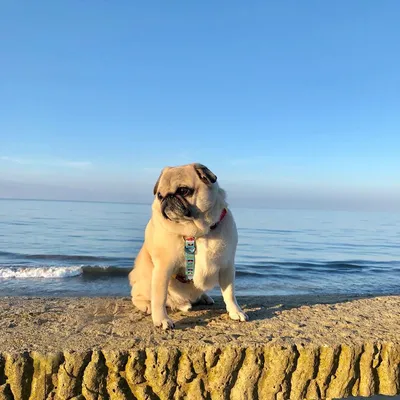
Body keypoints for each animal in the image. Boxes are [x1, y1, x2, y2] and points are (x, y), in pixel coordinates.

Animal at [129, 161, 247, 330]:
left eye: (183, 191)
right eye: (159, 195)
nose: (167, 198)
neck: (197, 232)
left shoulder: (227, 266)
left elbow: (229, 293)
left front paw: (235, 311)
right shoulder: (163, 269)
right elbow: (159, 298)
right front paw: (161, 319)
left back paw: (204, 297)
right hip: (146, 279)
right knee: (138, 296)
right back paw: (146, 305)